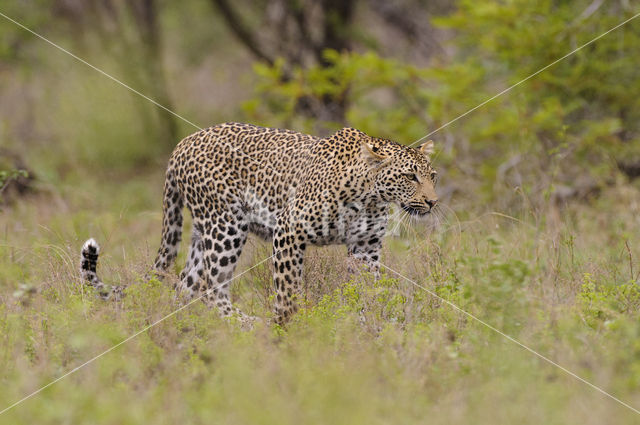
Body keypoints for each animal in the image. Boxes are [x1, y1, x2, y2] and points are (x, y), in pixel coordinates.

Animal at [80, 122, 438, 324]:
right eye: (410, 176)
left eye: (432, 175)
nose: (433, 202)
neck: (370, 195)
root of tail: (182, 143)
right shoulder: (289, 230)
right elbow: (288, 289)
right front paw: (287, 327)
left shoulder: (366, 247)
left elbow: (366, 291)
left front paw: (369, 327)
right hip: (226, 226)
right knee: (210, 285)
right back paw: (246, 324)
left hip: (203, 231)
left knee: (185, 285)